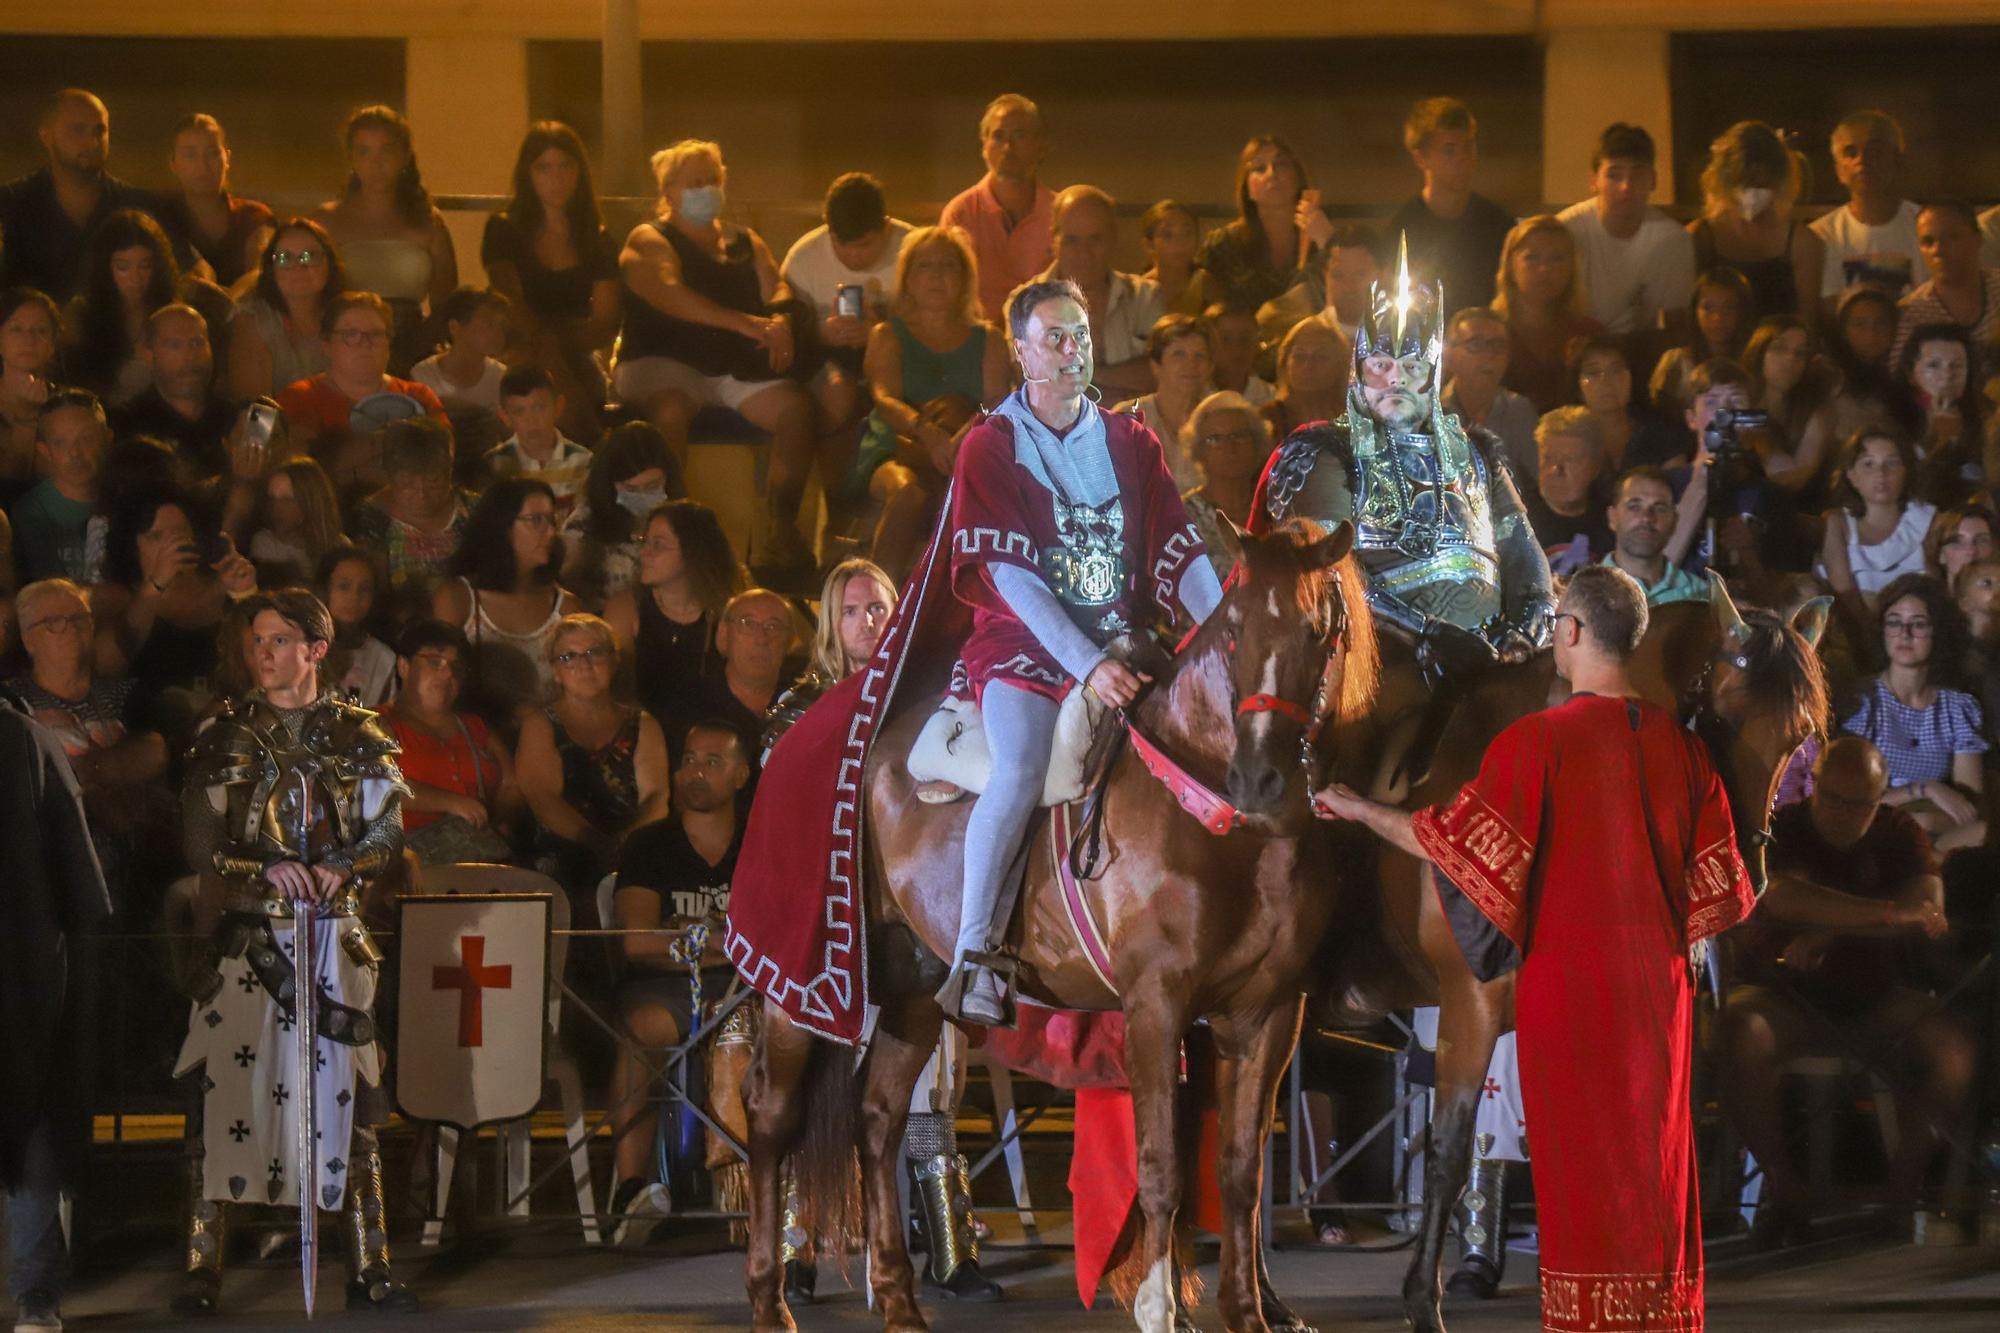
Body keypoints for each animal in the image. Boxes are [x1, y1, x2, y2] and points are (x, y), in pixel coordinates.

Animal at [744, 520, 1384, 1328]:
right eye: (1235, 628)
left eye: (1316, 632)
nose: (1261, 779)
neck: (1218, 820)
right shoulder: (1156, 1005)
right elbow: (1161, 1166)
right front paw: (1159, 1305)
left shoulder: (1267, 1012)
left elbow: (1242, 1172)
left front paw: (1248, 1310)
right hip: (797, 989)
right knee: (772, 1117)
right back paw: (771, 1301)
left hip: (916, 983)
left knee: (879, 1117)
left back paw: (898, 1300)